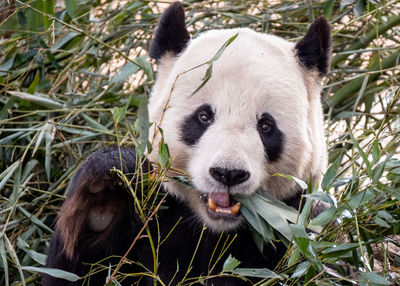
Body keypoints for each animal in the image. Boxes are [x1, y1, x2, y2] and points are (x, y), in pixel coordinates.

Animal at [43, 2, 332, 286]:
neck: (213, 229)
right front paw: (104, 198)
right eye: (203, 116)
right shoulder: (157, 221)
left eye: (266, 126)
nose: (228, 173)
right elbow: (81, 269)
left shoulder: (297, 226)